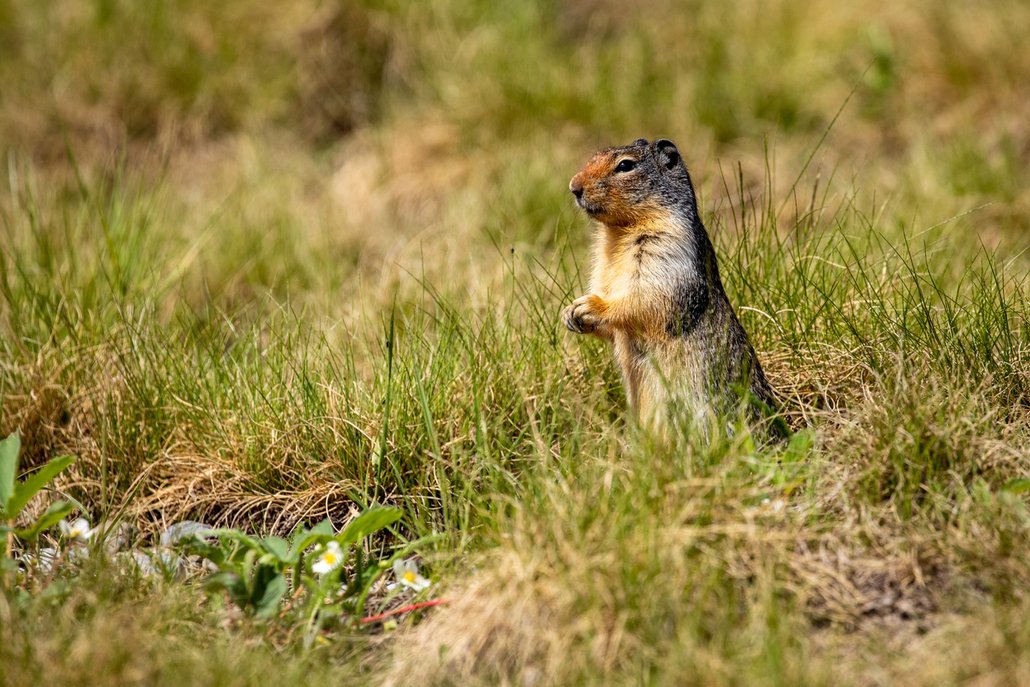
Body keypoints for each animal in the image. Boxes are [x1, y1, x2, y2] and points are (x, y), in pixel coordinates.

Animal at [564, 139, 778, 438]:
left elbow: (646, 297)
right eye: (595, 155)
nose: (574, 186)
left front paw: (591, 305)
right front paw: (570, 313)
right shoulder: (603, 266)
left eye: (625, 165)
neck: (618, 233)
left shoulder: (667, 247)